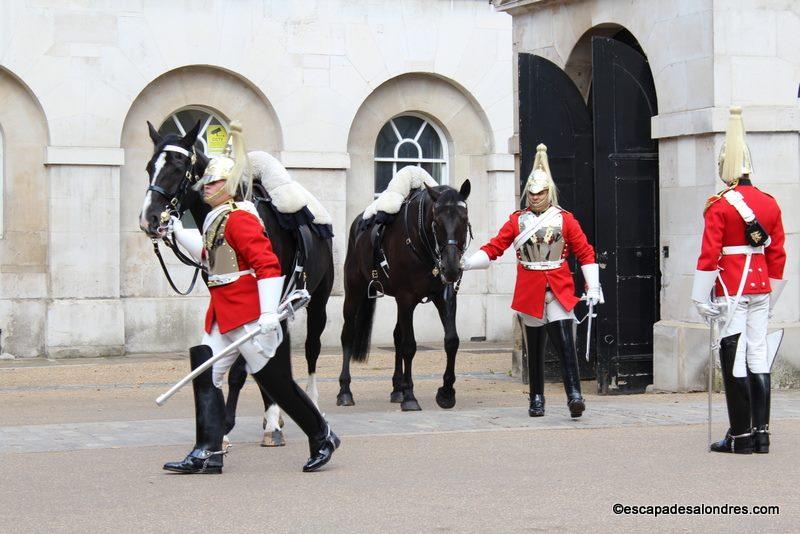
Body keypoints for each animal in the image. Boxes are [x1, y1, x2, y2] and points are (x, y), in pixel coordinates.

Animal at [139, 121, 332, 448]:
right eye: (150, 167)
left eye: (178, 168)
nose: (150, 219)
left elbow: (241, 370)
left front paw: (228, 425)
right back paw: (275, 415)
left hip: (317, 302)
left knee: (310, 349)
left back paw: (304, 407)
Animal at [336, 182, 468, 412]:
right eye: (436, 222)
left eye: (464, 219)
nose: (451, 269)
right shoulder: (406, 298)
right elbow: (410, 346)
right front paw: (410, 397)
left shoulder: (444, 296)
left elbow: (451, 340)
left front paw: (446, 393)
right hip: (354, 293)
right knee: (348, 335)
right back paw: (345, 391)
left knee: (397, 336)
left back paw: (397, 388)